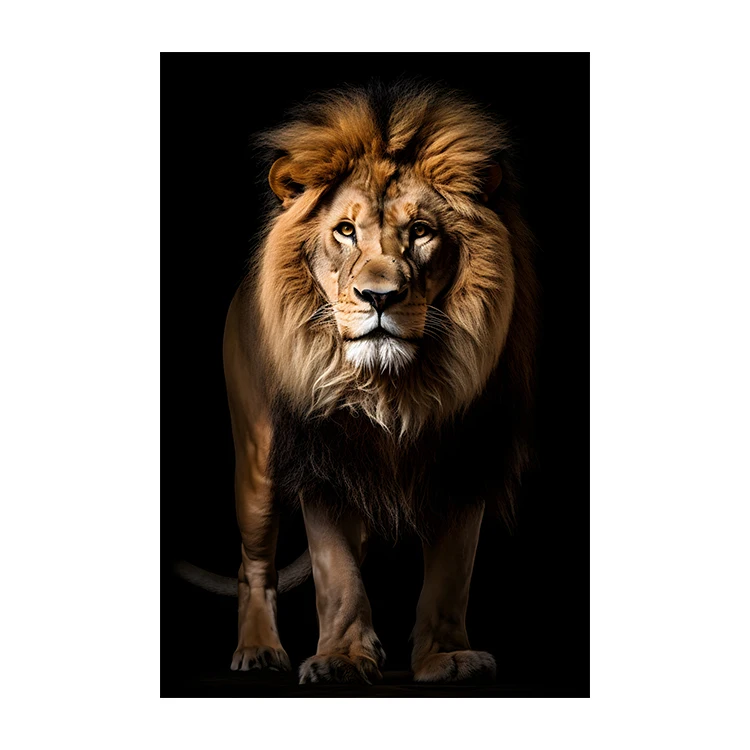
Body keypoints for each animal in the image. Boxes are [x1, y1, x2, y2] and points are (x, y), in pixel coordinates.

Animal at [177, 81, 538, 685]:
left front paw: (446, 657)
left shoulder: (465, 456)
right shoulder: (323, 455)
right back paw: (258, 650)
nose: (379, 297)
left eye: (421, 232)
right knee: (254, 565)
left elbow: (451, 574)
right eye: (345, 231)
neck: (389, 388)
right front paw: (341, 659)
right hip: (256, 461)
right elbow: (335, 570)